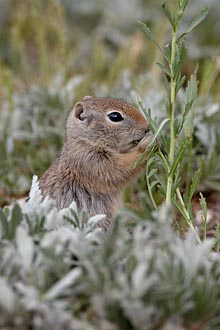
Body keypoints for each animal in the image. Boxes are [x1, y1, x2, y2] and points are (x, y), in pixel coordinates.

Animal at [39, 96, 151, 229]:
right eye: (115, 116)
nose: (147, 127)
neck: (85, 141)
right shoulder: (91, 161)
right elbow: (120, 169)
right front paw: (148, 144)